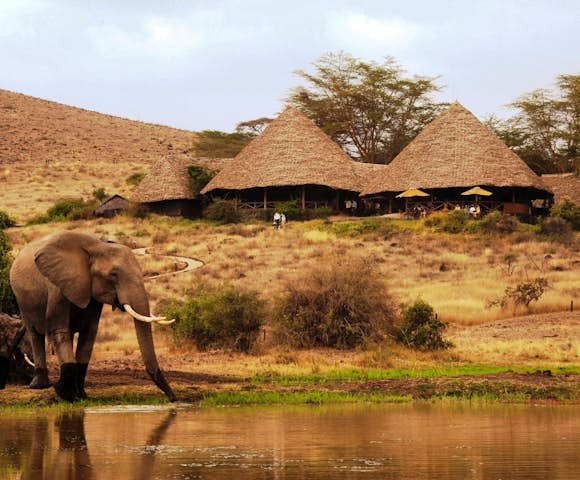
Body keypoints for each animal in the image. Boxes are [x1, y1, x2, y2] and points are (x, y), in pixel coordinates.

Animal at [7, 231, 176, 404]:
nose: (173, 398)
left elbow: (89, 334)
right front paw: (65, 395)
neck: (96, 247)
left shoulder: (93, 295)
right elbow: (59, 330)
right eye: (113, 275)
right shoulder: (57, 286)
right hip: (22, 300)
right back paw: (40, 385)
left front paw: (81, 395)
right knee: (35, 334)